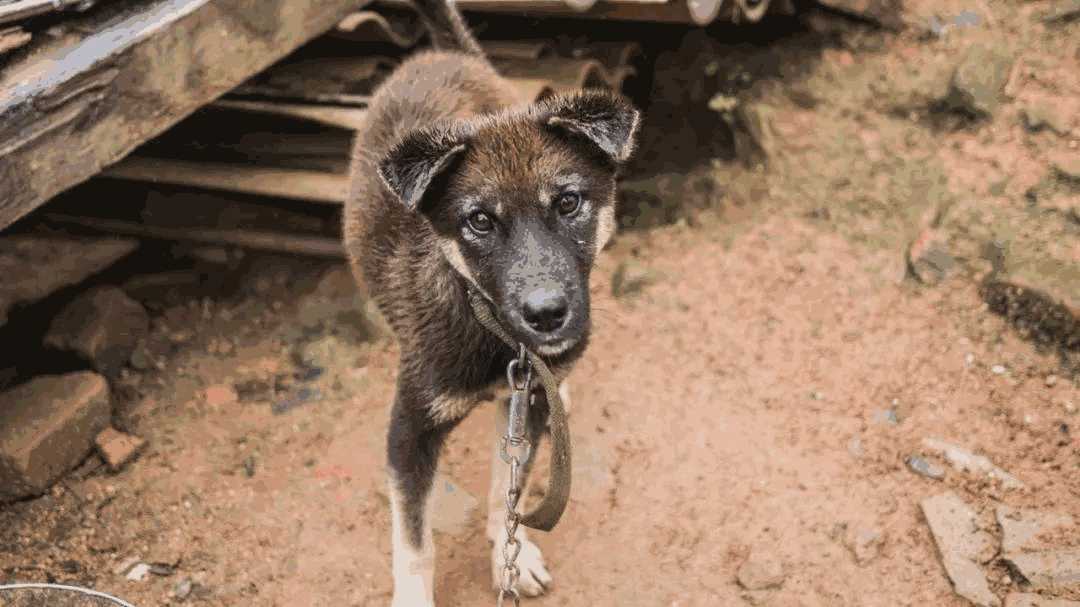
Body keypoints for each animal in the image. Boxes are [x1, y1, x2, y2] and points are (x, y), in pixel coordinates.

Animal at [341, 1, 635, 600]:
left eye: (569, 202)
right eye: (479, 220)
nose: (547, 315)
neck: (496, 336)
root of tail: (442, 54)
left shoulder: (527, 403)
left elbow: (510, 491)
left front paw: (510, 557)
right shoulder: (410, 428)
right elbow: (414, 542)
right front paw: (413, 598)